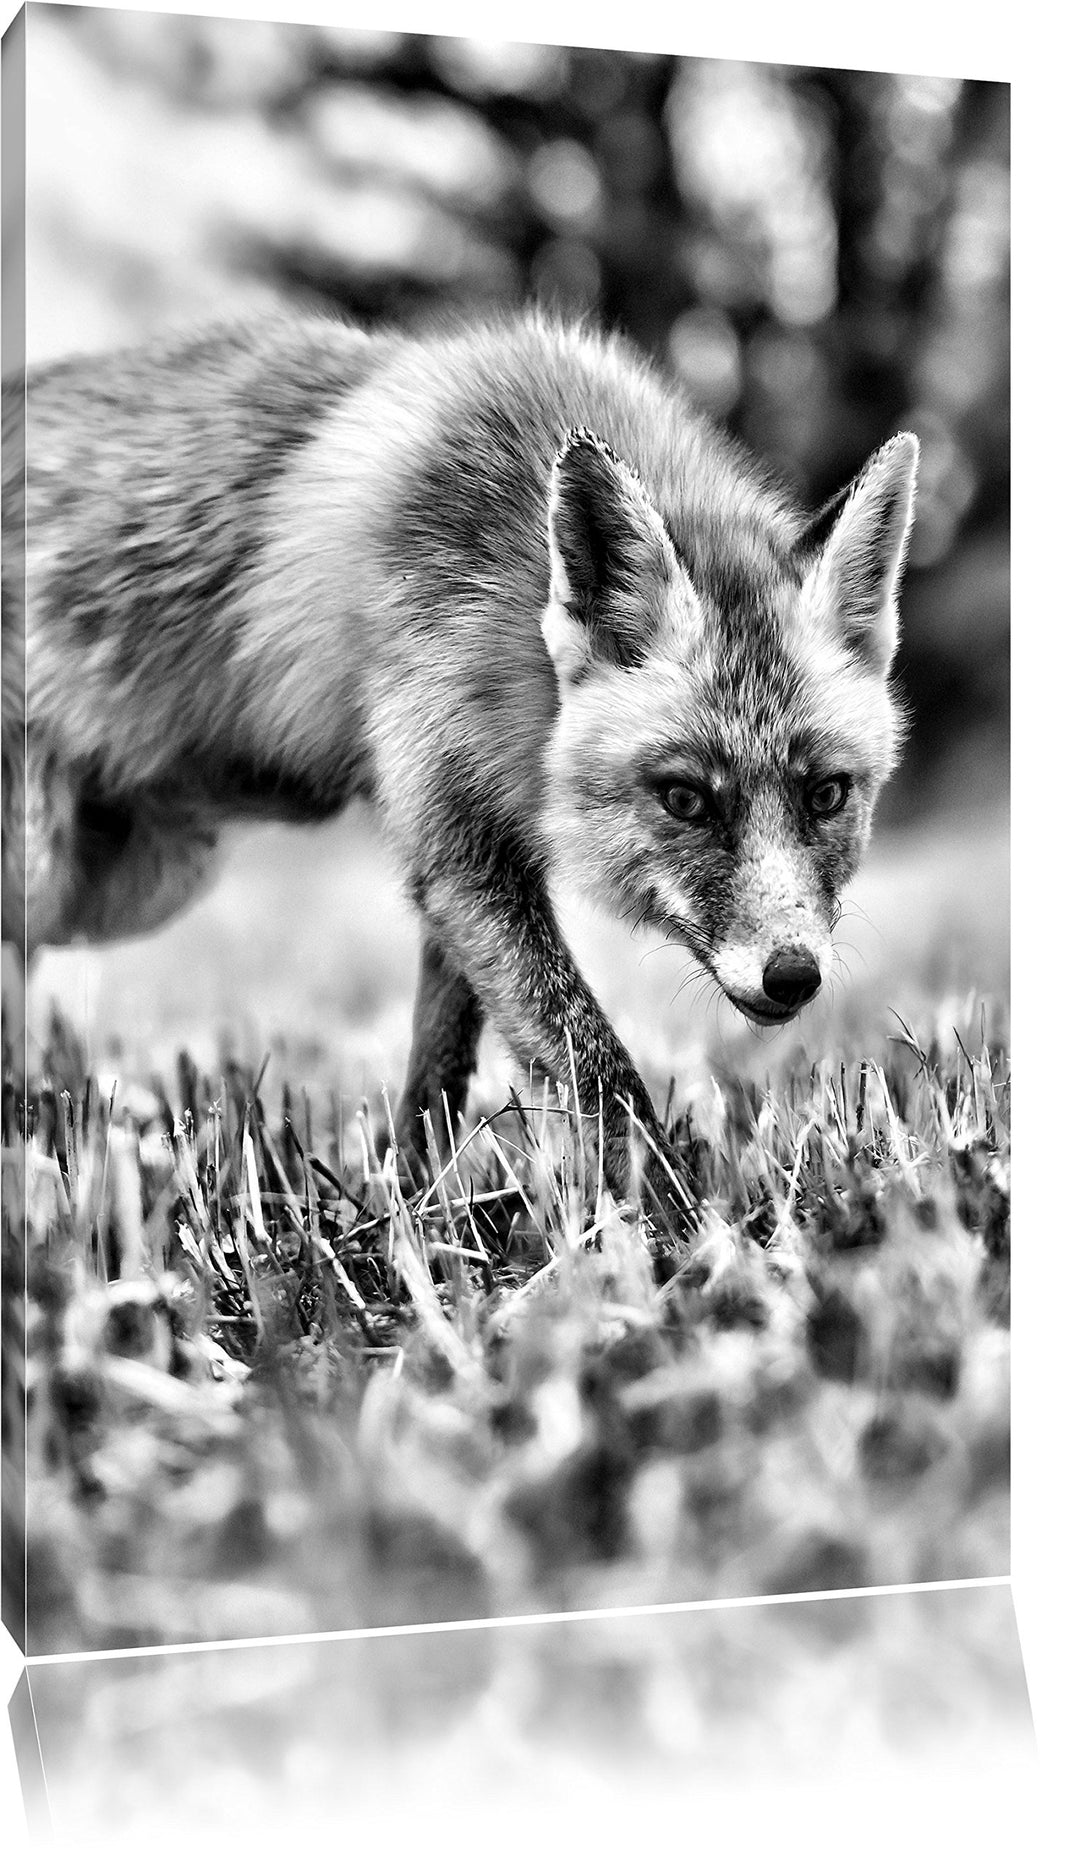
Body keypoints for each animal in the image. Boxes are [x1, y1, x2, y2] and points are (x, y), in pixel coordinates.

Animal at [2, 309, 917, 1216]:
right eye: (686, 800)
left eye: (827, 794)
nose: (793, 976)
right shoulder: (459, 850)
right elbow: (597, 1067)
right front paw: (673, 1219)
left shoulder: (463, 857)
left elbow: (439, 1067)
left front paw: (408, 1200)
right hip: (55, 873)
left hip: (147, 876)